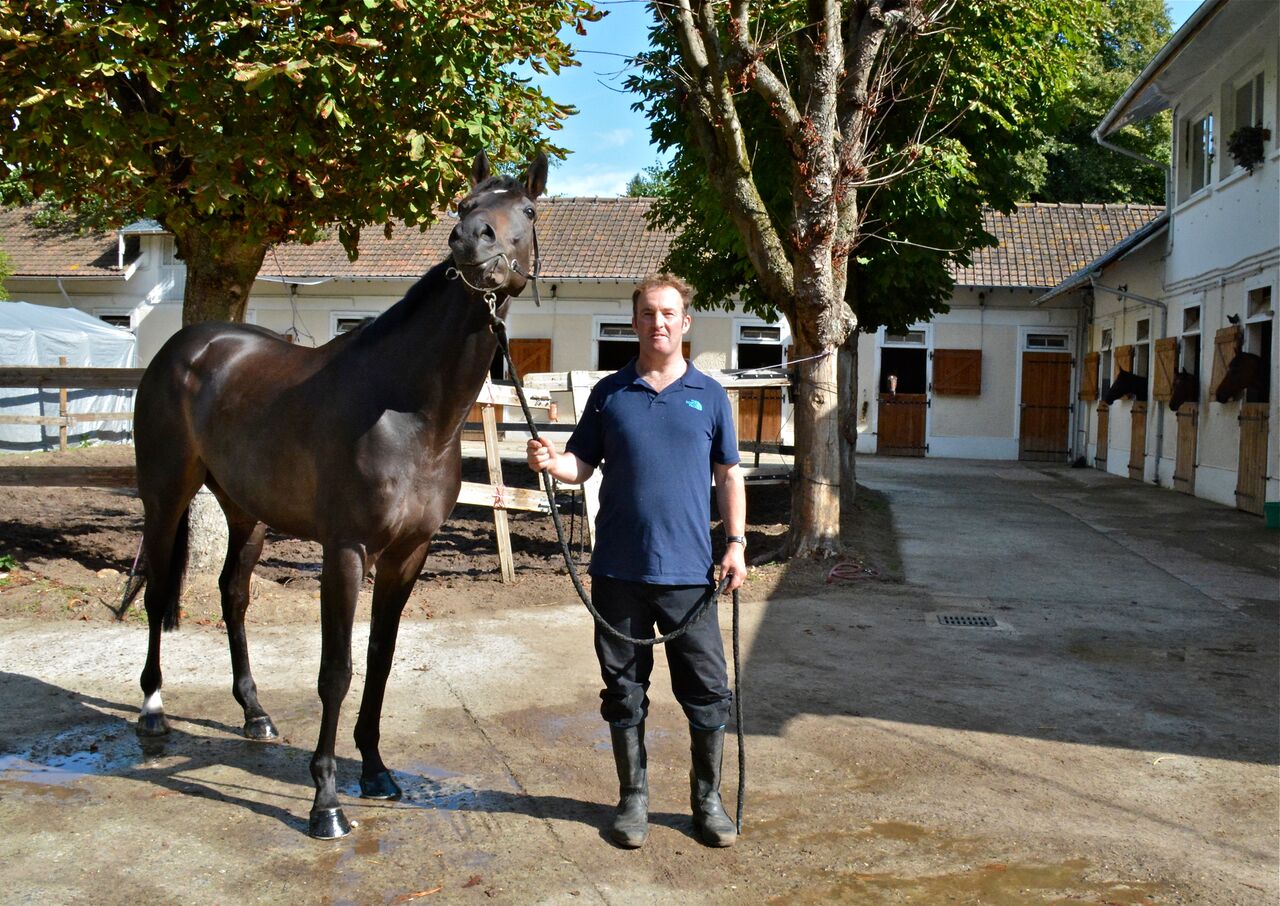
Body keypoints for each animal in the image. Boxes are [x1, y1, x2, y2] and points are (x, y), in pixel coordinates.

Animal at [131, 152, 550, 839]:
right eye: (464, 204)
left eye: (529, 210)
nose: (470, 243)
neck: (410, 413)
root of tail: (186, 347)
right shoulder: (347, 550)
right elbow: (337, 670)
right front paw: (325, 801)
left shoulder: (409, 553)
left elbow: (380, 658)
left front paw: (375, 771)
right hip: (166, 495)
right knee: (157, 590)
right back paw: (152, 710)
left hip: (247, 512)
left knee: (233, 594)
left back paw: (255, 716)